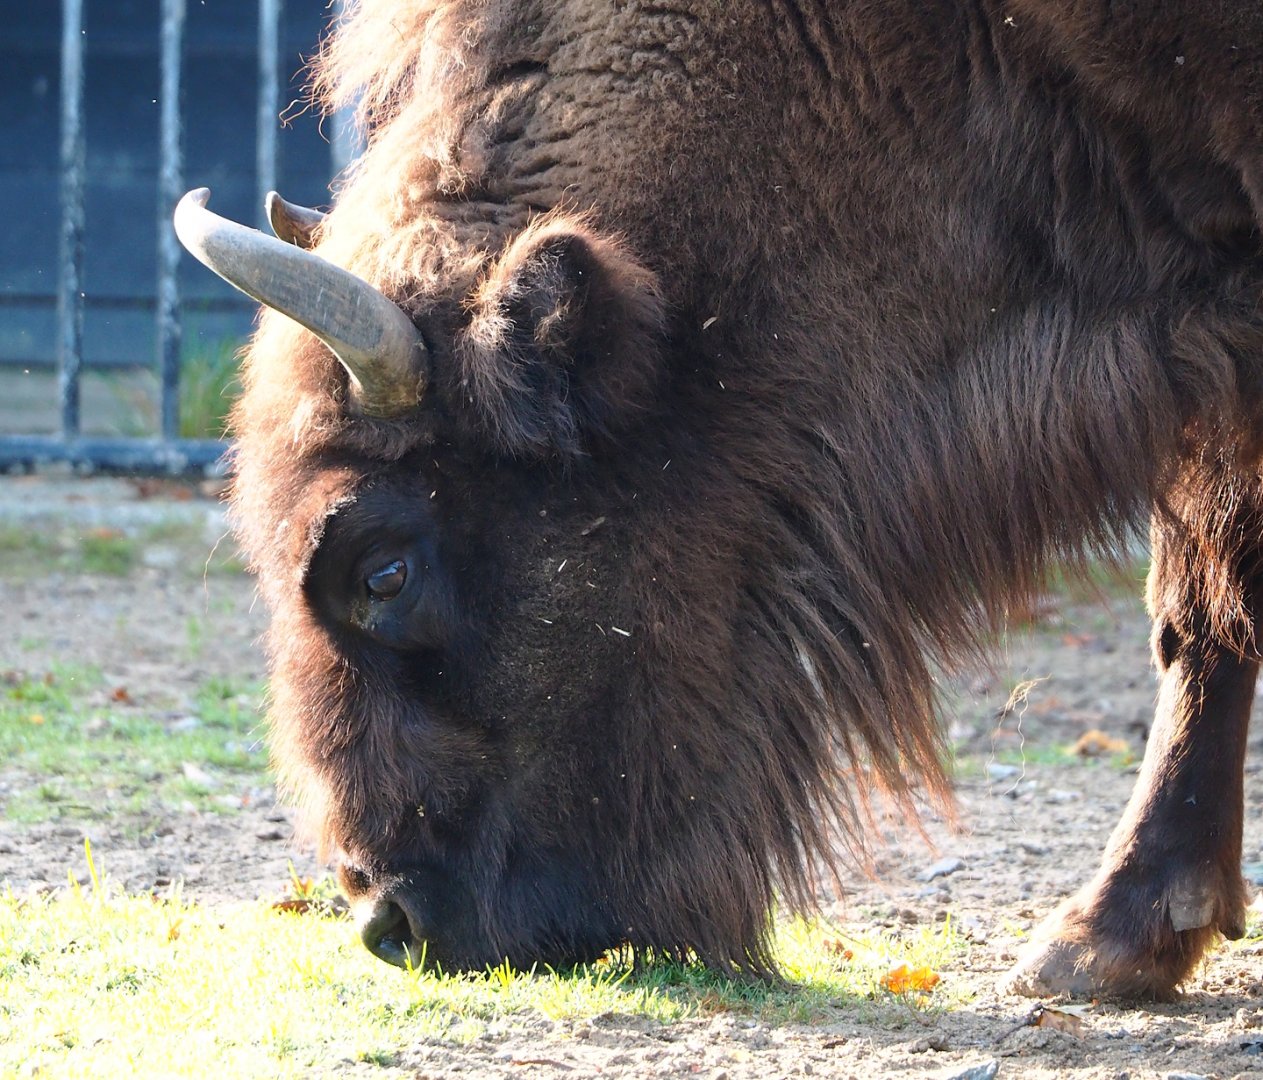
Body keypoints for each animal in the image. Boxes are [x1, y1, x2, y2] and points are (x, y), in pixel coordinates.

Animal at [175, 0, 1263, 996]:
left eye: (382, 570)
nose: (388, 919)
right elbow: (1196, 610)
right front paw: (1119, 943)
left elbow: (1223, 594)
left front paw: (1101, 938)